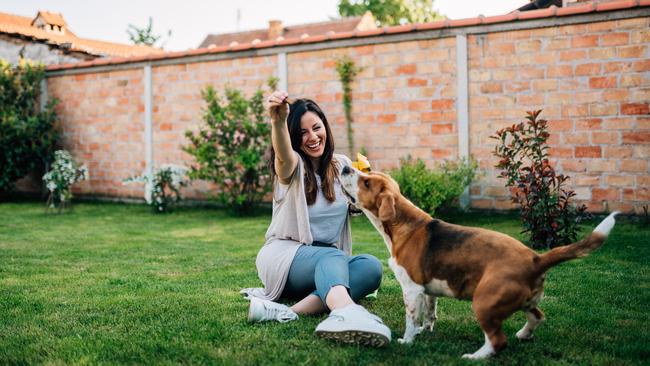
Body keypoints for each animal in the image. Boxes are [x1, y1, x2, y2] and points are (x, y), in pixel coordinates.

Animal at [340, 167, 616, 360]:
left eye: (366, 182)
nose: (344, 168)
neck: (403, 225)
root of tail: (536, 258)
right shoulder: (427, 291)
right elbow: (428, 314)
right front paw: (424, 331)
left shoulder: (411, 289)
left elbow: (411, 319)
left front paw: (407, 341)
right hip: (524, 302)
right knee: (537, 316)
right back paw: (524, 334)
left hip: (484, 303)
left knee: (497, 340)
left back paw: (475, 357)